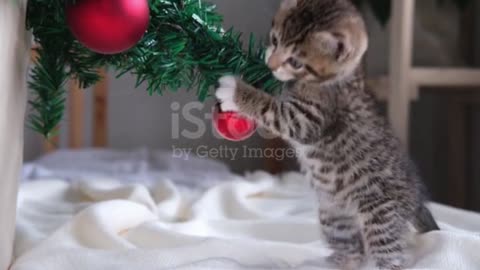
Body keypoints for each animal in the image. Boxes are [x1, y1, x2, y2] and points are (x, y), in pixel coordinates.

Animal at [216, 0, 440, 270]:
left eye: (296, 62)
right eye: (275, 39)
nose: (270, 65)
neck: (338, 79)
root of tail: (417, 200)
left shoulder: (308, 117)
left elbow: (272, 109)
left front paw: (235, 91)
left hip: (381, 216)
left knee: (390, 255)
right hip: (334, 215)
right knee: (352, 252)